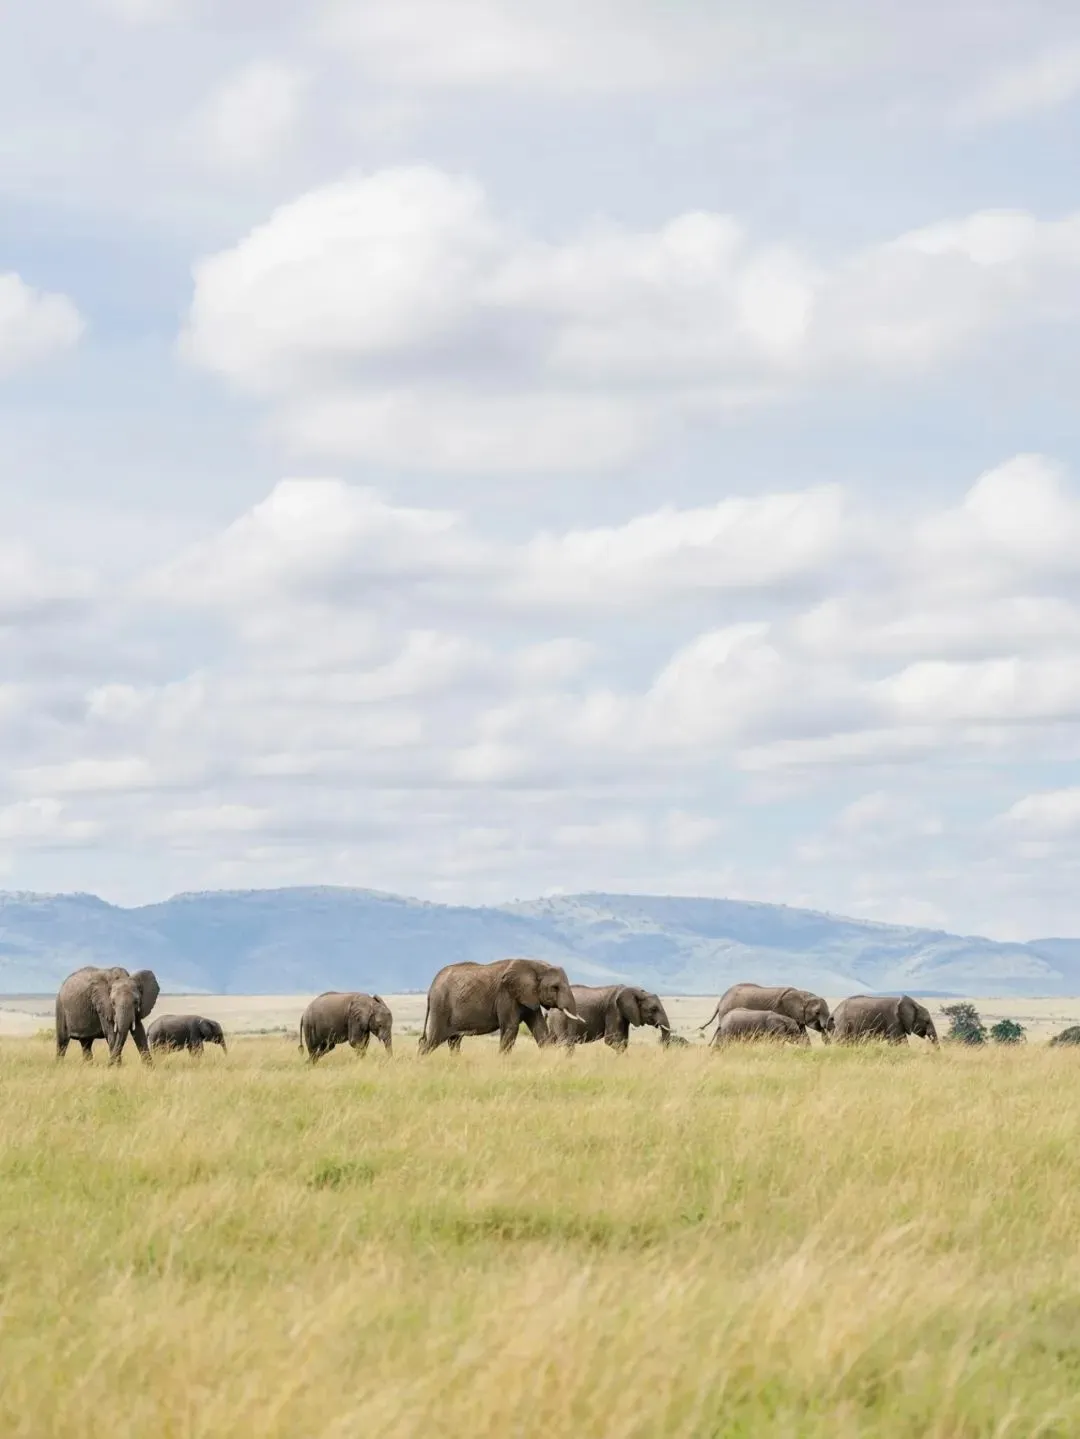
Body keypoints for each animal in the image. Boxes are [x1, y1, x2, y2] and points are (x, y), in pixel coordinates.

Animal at [418, 957, 584, 1054]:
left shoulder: (528, 996)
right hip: (441, 1006)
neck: (536, 966)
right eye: (555, 988)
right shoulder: (506, 995)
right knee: (433, 1040)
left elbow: (540, 1028)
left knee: (454, 1041)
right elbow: (511, 1027)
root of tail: (430, 989)